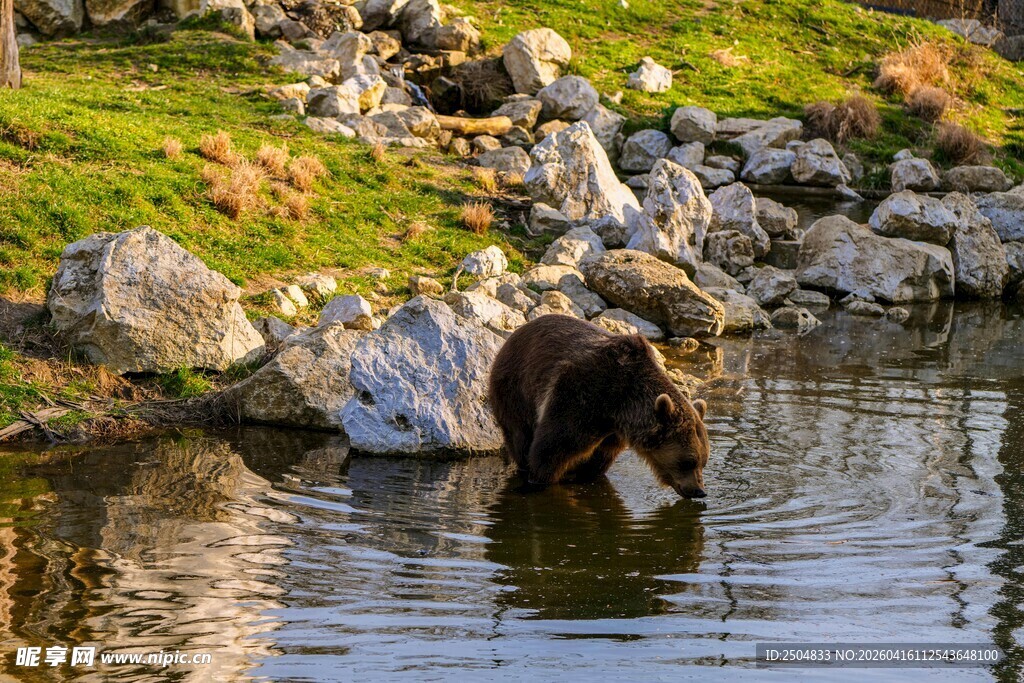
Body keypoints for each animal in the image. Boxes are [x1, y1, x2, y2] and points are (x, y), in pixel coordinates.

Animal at [488, 314, 711, 498]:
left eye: (703, 461)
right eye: (688, 462)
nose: (699, 491)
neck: (621, 406)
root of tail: (514, 334)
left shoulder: (613, 431)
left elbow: (599, 458)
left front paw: (583, 475)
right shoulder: (581, 395)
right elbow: (551, 447)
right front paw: (538, 480)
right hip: (516, 389)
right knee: (520, 435)